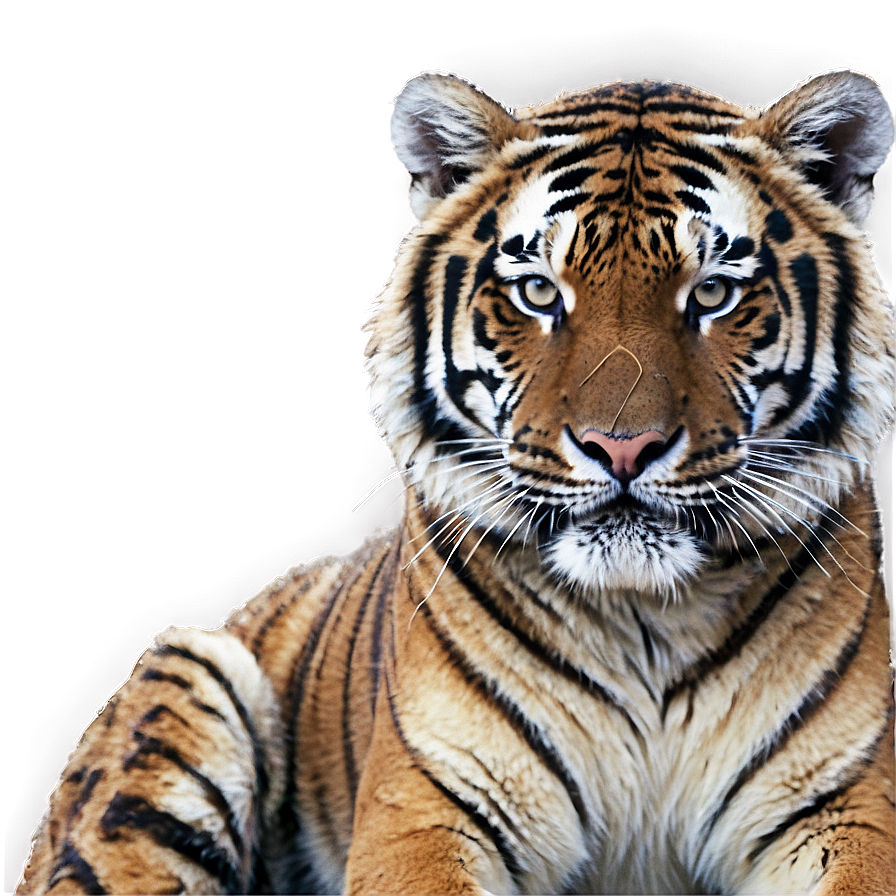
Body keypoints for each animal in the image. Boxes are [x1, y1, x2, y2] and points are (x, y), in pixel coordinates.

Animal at [16, 66, 896, 895]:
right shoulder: (425, 809)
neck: (644, 618)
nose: (622, 447)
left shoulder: (845, 803)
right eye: (539, 292)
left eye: (712, 292)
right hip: (192, 677)